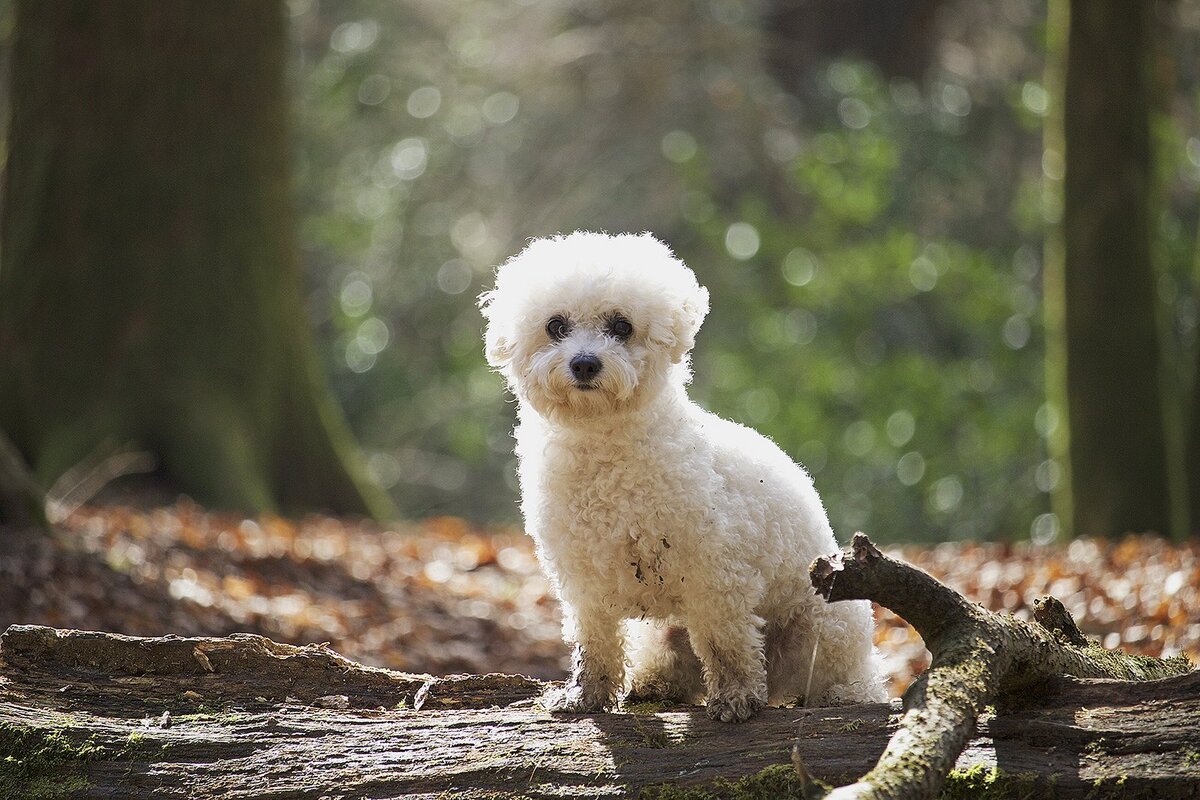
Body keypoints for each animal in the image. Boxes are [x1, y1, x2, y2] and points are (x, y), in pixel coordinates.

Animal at [475, 231, 883, 724]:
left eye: (622, 326)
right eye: (556, 326)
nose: (585, 364)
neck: (606, 451)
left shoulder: (716, 577)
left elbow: (727, 643)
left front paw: (736, 698)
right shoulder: (583, 581)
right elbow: (594, 641)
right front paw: (585, 697)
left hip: (823, 624)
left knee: (841, 676)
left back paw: (840, 695)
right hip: (666, 634)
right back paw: (654, 685)